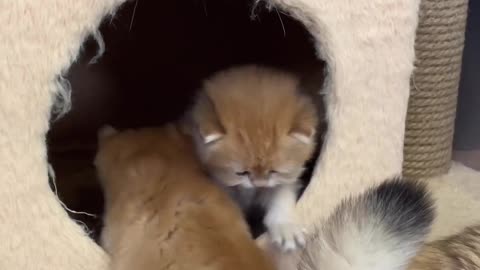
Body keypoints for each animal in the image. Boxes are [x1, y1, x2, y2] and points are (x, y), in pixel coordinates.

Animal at [188, 66, 318, 251]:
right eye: (241, 173)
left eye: (274, 172)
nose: (259, 184)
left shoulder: (284, 180)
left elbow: (281, 198)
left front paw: (286, 228)